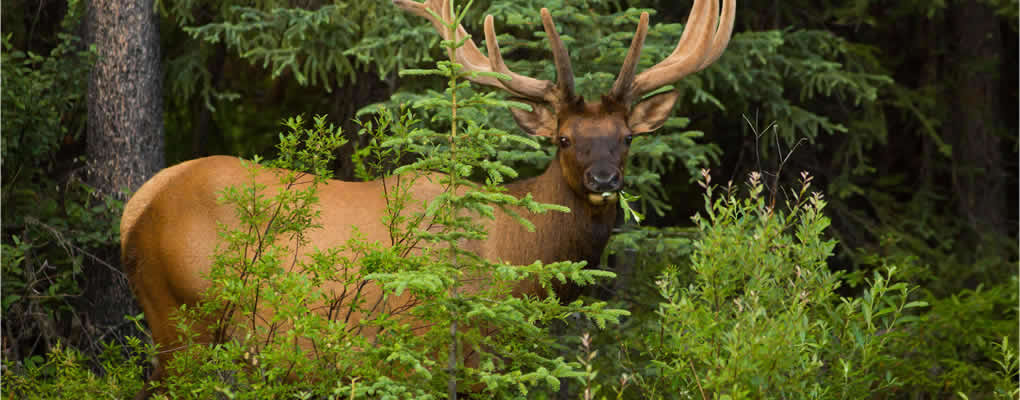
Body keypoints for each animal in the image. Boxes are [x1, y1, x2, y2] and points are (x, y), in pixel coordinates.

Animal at [121, 0, 734, 395]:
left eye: (626, 137)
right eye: (564, 138)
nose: (605, 179)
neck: (518, 257)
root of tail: (137, 206)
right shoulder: (452, 350)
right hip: (179, 317)